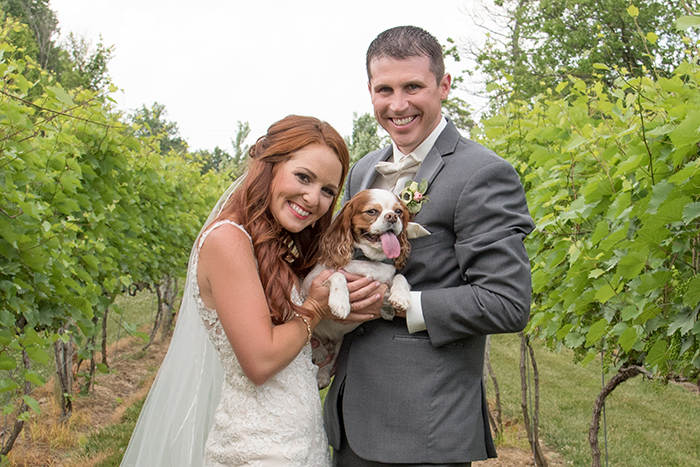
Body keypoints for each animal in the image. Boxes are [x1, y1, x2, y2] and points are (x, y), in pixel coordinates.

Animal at [300, 188, 410, 390]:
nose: (392, 217)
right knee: (314, 342)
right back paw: (318, 351)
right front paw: (340, 303)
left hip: (338, 345)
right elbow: (338, 275)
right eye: (372, 211)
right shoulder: (310, 283)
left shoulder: (385, 283)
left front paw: (401, 297)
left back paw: (322, 377)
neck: (367, 259)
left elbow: (400, 277)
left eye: (399, 211)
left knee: (328, 362)